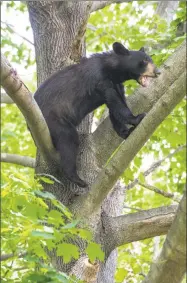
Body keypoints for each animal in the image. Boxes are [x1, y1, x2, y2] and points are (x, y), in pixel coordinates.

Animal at [34, 42, 160, 189]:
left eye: (151, 59)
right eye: (144, 60)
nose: (158, 72)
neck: (111, 70)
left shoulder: (116, 84)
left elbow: (116, 106)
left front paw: (125, 132)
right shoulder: (99, 78)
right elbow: (115, 101)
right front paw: (137, 118)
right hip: (53, 119)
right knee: (68, 140)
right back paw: (77, 178)